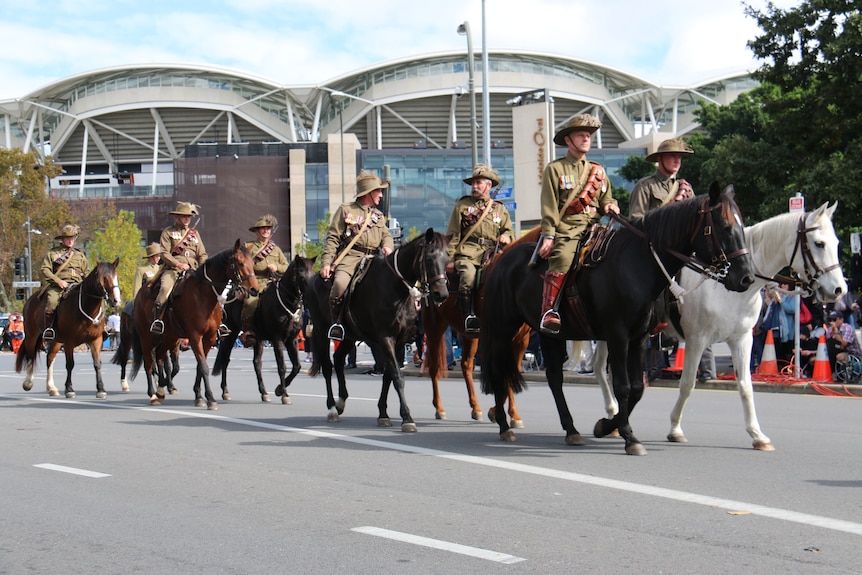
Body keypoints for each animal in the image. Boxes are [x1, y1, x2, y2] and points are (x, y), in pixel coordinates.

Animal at [17, 260, 121, 400]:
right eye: (104, 278)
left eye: (117, 277)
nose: (116, 300)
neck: (87, 309)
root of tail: (31, 299)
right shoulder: (69, 342)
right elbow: (70, 364)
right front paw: (69, 389)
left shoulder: (96, 340)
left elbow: (97, 363)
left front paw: (101, 389)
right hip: (31, 335)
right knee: (30, 354)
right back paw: (28, 382)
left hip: (56, 341)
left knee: (49, 358)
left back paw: (51, 388)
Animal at [128, 241, 256, 412]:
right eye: (240, 263)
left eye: (253, 263)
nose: (254, 289)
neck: (204, 295)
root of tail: (140, 293)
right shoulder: (195, 337)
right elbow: (204, 367)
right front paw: (211, 399)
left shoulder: (210, 338)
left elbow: (199, 367)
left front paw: (199, 397)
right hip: (146, 337)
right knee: (149, 362)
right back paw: (153, 393)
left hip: (169, 337)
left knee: (160, 358)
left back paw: (162, 389)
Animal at [213, 256, 318, 404]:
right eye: (301, 275)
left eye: (313, 274)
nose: (312, 296)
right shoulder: (277, 339)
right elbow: (282, 367)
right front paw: (285, 394)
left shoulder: (292, 340)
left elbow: (296, 366)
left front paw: (279, 389)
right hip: (231, 333)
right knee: (225, 360)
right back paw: (225, 391)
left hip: (258, 339)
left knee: (257, 363)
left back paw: (264, 393)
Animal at [306, 228, 452, 432]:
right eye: (429, 257)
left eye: (447, 258)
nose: (442, 294)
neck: (396, 288)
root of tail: (315, 279)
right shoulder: (385, 338)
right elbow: (397, 377)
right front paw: (407, 418)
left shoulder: (400, 340)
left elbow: (388, 376)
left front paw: (383, 413)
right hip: (321, 331)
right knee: (327, 366)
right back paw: (332, 408)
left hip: (349, 336)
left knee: (338, 359)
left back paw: (341, 401)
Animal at [480, 184, 756, 454]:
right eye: (725, 226)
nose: (746, 278)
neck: (637, 265)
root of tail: (500, 258)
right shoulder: (618, 335)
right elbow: (622, 386)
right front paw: (628, 436)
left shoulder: (640, 338)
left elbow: (637, 388)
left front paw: (606, 425)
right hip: (504, 329)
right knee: (497, 369)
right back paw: (504, 425)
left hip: (549, 335)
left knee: (554, 378)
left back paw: (571, 429)